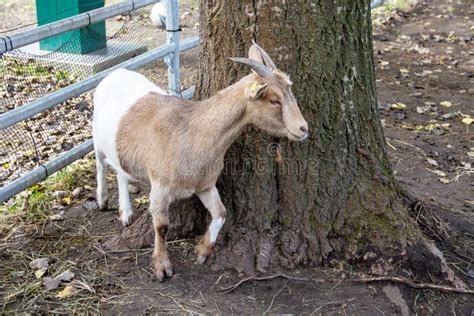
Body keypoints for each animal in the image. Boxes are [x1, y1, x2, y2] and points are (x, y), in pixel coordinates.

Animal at [93, 41, 310, 278]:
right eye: (274, 100)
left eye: (290, 91)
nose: (303, 128)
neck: (192, 133)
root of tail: (115, 72)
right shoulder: (160, 185)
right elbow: (162, 226)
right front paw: (162, 266)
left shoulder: (205, 185)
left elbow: (221, 213)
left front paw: (203, 251)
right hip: (96, 137)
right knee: (101, 164)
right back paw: (103, 199)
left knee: (121, 171)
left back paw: (126, 212)